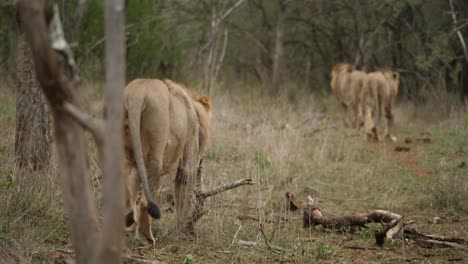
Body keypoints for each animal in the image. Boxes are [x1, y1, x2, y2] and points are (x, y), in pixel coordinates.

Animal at [121, 78, 211, 245]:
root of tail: (137, 93)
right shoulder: (188, 163)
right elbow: (183, 197)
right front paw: (179, 229)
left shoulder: (137, 168)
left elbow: (134, 185)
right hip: (156, 154)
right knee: (145, 201)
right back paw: (146, 238)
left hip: (125, 152)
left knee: (124, 189)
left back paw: (128, 220)